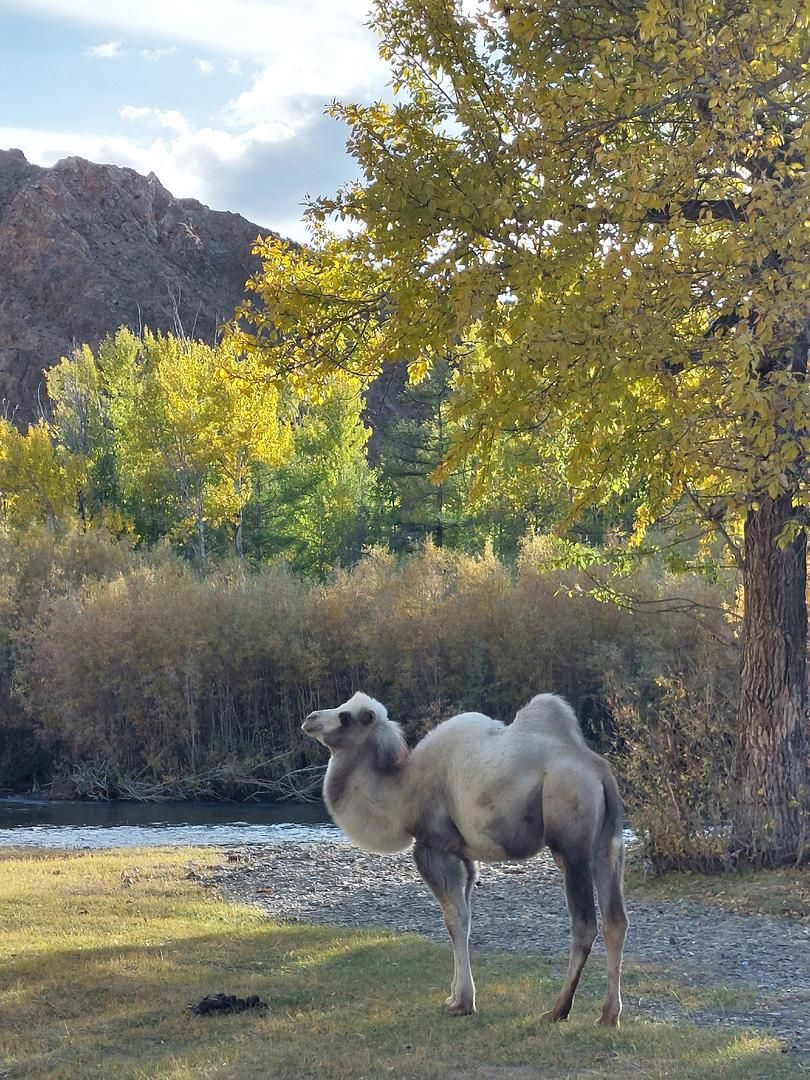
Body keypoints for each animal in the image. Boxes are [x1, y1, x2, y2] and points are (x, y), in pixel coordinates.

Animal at [302, 686, 630, 1023]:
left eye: (345, 716)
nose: (310, 718)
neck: (403, 793)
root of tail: (599, 771)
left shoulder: (435, 846)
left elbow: (454, 919)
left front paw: (462, 1003)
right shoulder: (464, 855)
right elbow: (466, 918)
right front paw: (455, 997)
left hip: (571, 839)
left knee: (584, 923)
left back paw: (558, 1010)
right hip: (608, 844)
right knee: (616, 920)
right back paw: (608, 1015)